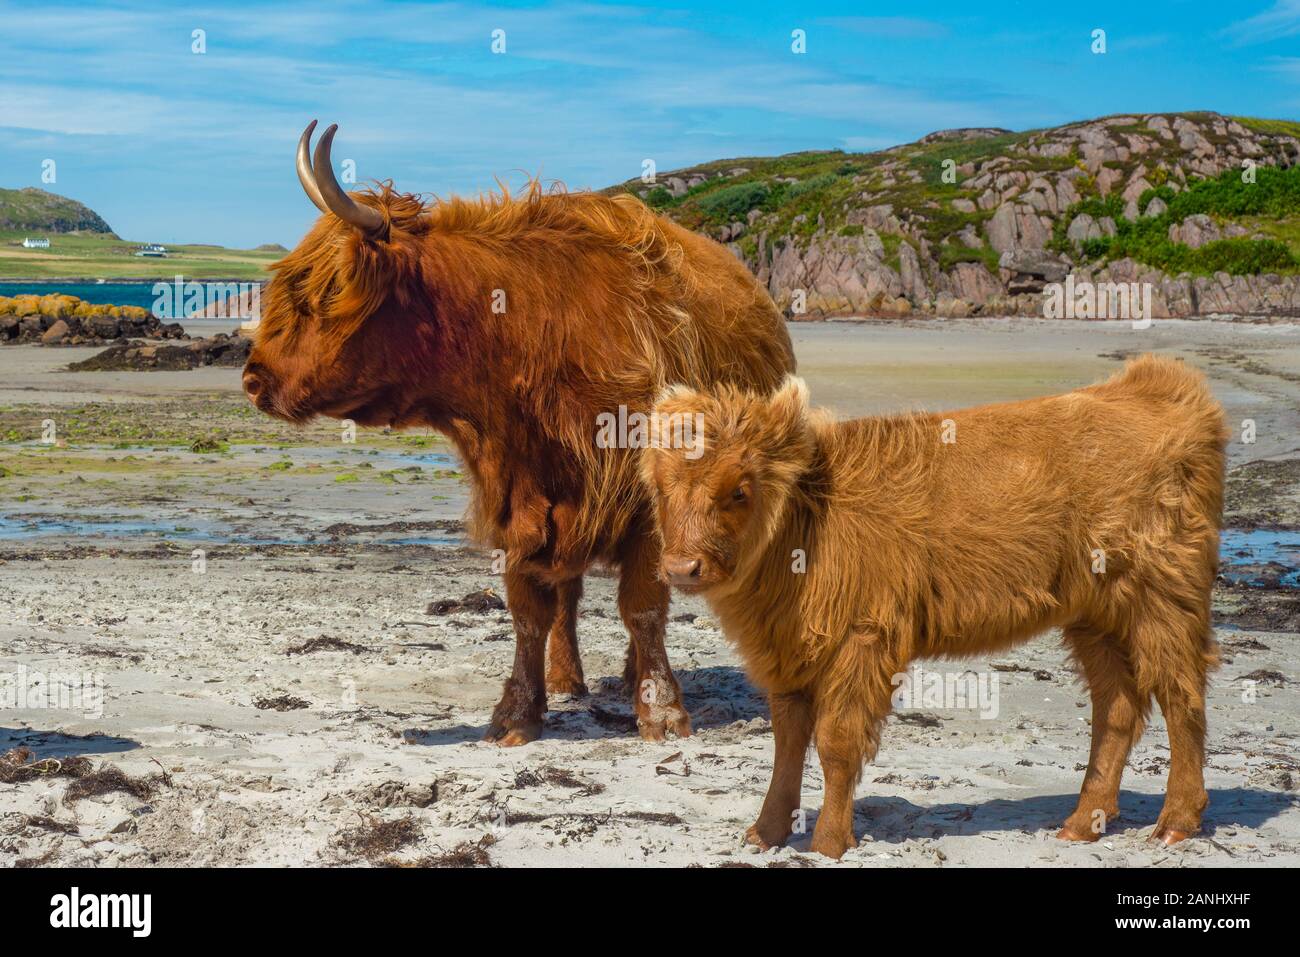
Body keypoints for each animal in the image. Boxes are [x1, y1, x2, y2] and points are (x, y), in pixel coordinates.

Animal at [242, 122, 795, 745]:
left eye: (325, 293)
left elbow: (644, 606)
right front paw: (518, 712)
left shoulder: (644, 502)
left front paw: (661, 711)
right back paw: (566, 678)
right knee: (569, 597)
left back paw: (632, 677)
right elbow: (530, 610)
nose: (253, 378)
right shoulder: (516, 500)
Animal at [642, 357, 1226, 858]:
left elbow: (835, 743)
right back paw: (1084, 822)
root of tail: (1156, 385)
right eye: (661, 489)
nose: (681, 569)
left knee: (1181, 696)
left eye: (739, 490)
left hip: (1163, 600)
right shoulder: (786, 653)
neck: (810, 520)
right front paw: (765, 832)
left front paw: (828, 842)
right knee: (1118, 707)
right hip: (1096, 618)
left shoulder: (862, 640)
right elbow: (786, 743)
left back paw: (1176, 821)